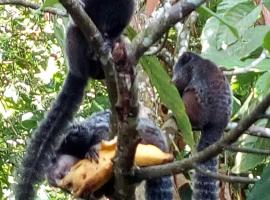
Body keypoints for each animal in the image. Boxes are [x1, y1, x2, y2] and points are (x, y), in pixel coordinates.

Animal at [173, 52, 232, 200]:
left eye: (177, 68)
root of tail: (217, 123)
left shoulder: (188, 68)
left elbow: (179, 84)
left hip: (197, 109)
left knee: (188, 93)